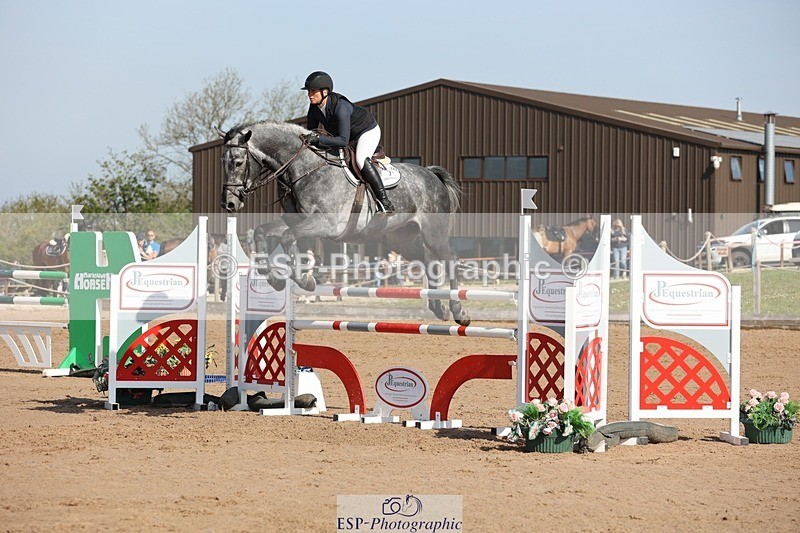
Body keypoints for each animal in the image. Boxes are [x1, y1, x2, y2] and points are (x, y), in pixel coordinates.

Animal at [219, 120, 470, 326]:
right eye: (223, 162)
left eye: (238, 162)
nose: (228, 203)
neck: (303, 168)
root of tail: (432, 175)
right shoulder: (295, 219)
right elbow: (262, 232)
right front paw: (275, 279)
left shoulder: (326, 224)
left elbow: (288, 237)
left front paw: (305, 281)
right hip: (401, 239)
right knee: (428, 261)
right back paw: (438, 308)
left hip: (433, 235)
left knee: (450, 261)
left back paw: (459, 311)